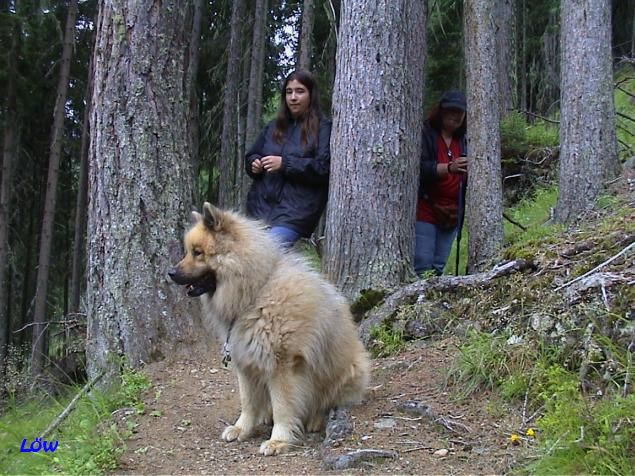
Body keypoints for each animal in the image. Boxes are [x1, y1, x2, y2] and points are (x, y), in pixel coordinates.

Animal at [169, 203, 370, 456]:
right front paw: (242, 428)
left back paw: (314, 419)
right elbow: (248, 402)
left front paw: (279, 440)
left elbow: (284, 406)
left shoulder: (282, 365)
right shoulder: (245, 362)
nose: (170, 273)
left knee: (325, 401)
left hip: (347, 371)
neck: (255, 293)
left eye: (197, 252)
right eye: (188, 251)